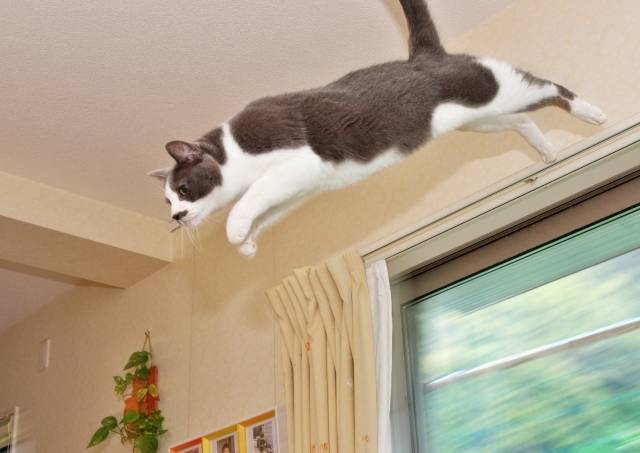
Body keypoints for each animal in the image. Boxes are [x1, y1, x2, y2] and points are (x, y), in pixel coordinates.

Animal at [149, 0, 606, 257]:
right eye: (168, 203)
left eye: (184, 189)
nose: (177, 217)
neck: (236, 155)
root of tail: (424, 55)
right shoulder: (301, 186)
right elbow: (268, 209)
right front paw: (249, 242)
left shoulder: (297, 160)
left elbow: (248, 202)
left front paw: (235, 230)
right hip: (478, 119)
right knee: (522, 118)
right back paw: (546, 150)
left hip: (493, 88)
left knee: (545, 87)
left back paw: (591, 111)